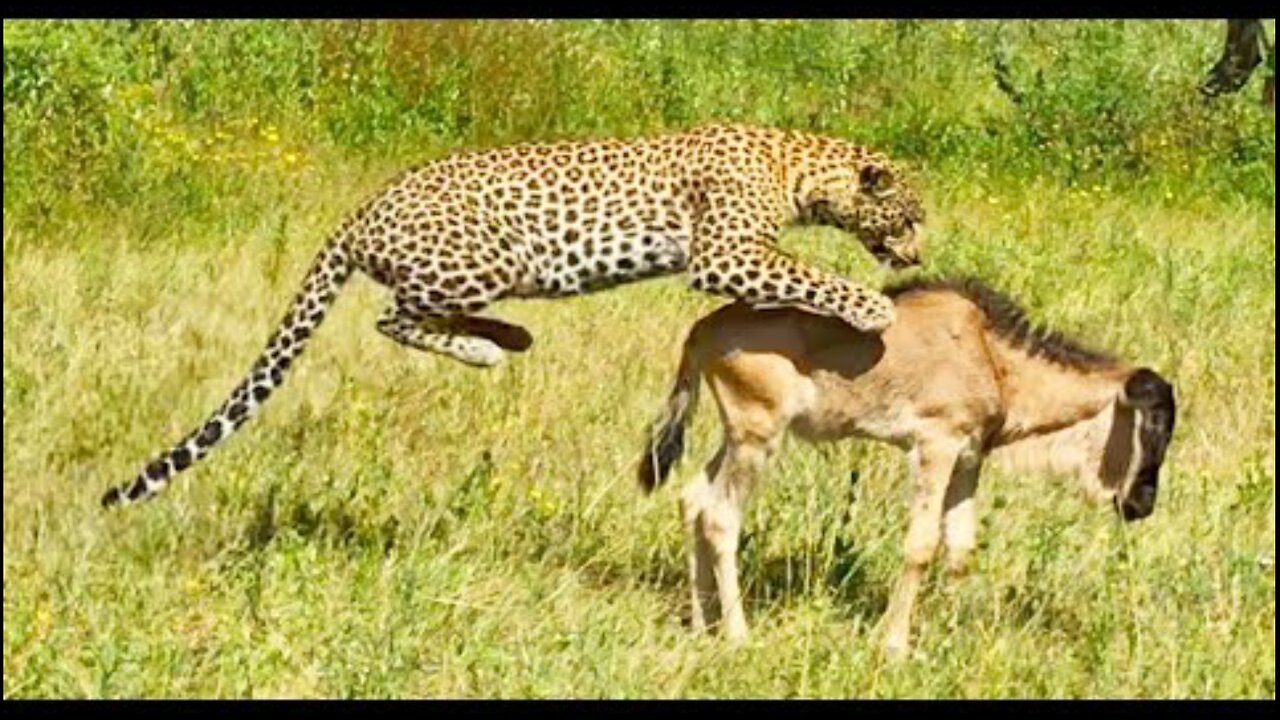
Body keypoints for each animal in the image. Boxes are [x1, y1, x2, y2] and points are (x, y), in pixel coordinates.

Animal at [99, 121, 921, 504]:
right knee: (393, 316)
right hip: (487, 261)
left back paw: (510, 335)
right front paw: (872, 311)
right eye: (909, 216)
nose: (915, 255)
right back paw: (492, 346)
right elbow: (813, 276)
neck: (799, 167)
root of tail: (361, 210)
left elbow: (787, 286)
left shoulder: (740, 260)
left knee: (415, 315)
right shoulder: (723, 251)